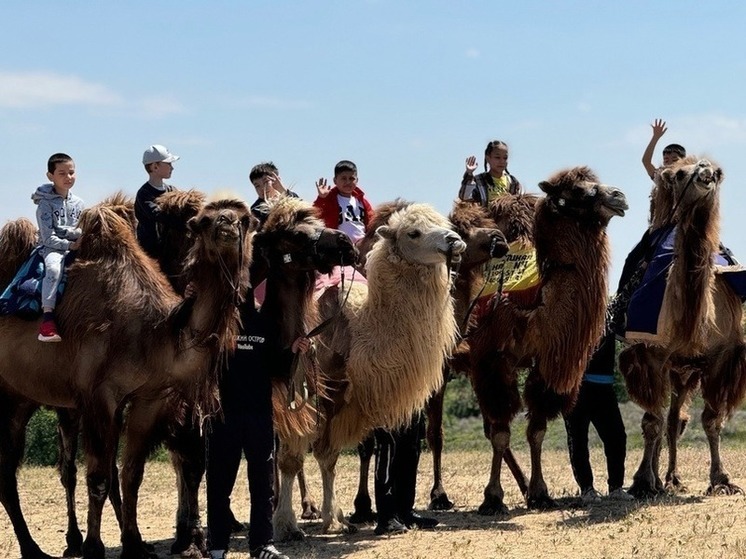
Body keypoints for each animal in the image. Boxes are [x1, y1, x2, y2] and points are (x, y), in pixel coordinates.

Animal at [0, 198, 256, 559]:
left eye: (245, 219)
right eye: (203, 222)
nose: (226, 224)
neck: (155, 332)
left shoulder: (150, 398)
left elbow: (132, 474)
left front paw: (135, 544)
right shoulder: (98, 396)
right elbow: (98, 477)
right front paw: (94, 547)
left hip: (20, 398)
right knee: (18, 472)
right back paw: (38, 548)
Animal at [270, 203, 462, 540]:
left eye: (445, 224)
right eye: (413, 233)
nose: (454, 241)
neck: (360, 326)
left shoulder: (341, 396)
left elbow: (329, 457)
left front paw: (334, 518)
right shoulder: (303, 392)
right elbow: (293, 459)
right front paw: (286, 525)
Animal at [462, 167, 624, 516]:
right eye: (578, 190)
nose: (619, 195)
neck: (534, 300)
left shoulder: (548, 361)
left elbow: (536, 430)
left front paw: (539, 493)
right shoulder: (493, 358)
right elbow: (501, 432)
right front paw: (492, 498)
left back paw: (523, 486)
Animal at [616, 155, 744, 496]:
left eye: (715, 170)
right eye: (677, 175)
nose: (705, 172)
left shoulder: (722, 356)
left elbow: (711, 420)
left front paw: (722, 480)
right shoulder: (652, 355)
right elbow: (651, 422)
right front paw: (643, 481)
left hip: (685, 372)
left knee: (675, 420)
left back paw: (672, 477)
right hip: (672, 368)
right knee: (662, 419)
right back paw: (659, 479)